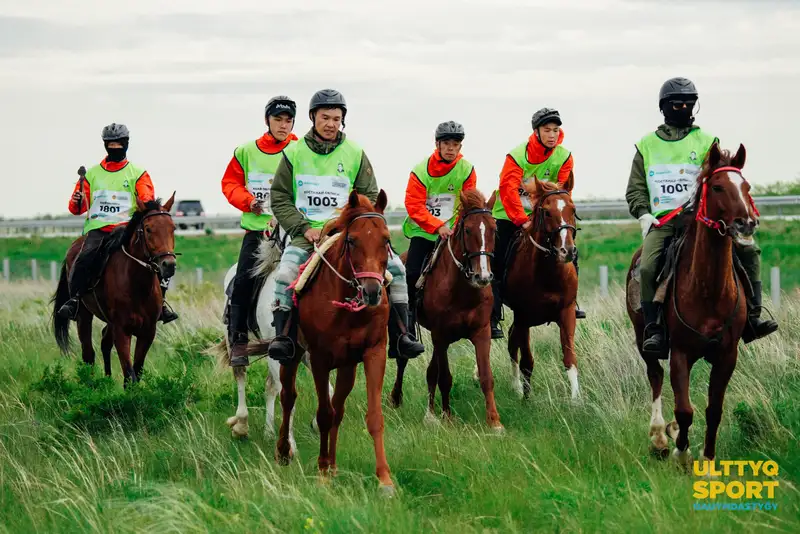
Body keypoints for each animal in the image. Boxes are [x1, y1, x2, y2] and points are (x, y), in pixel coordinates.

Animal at [52, 196, 178, 386]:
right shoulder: (122, 330)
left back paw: (107, 379)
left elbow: (137, 371)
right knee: (88, 354)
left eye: (173, 228)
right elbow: (129, 373)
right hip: (83, 315)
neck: (138, 287)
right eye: (148, 229)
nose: (168, 265)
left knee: (104, 342)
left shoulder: (148, 332)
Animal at [250, 192, 396, 494]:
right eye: (352, 240)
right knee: (288, 396)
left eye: (386, 240)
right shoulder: (319, 359)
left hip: (347, 366)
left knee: (337, 408)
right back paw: (284, 451)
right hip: (291, 356)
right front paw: (322, 472)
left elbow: (372, 416)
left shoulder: (372, 353)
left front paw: (384, 479)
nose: (372, 292)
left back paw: (334, 463)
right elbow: (323, 414)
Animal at [390, 189, 500, 432]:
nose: (483, 276)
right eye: (468, 230)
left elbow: (486, 376)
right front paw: (447, 416)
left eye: (494, 229)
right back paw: (397, 400)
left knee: (431, 371)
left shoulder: (481, 332)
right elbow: (445, 377)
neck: (463, 291)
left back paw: (430, 412)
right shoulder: (440, 335)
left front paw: (495, 422)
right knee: (403, 360)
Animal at [624, 143, 756, 468]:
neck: (708, 289)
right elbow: (684, 410)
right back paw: (659, 437)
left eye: (746, 186)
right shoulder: (681, 352)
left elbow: (713, 410)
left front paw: (707, 461)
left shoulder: (727, 355)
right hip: (643, 339)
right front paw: (680, 453)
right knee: (656, 377)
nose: (746, 224)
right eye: (718, 187)